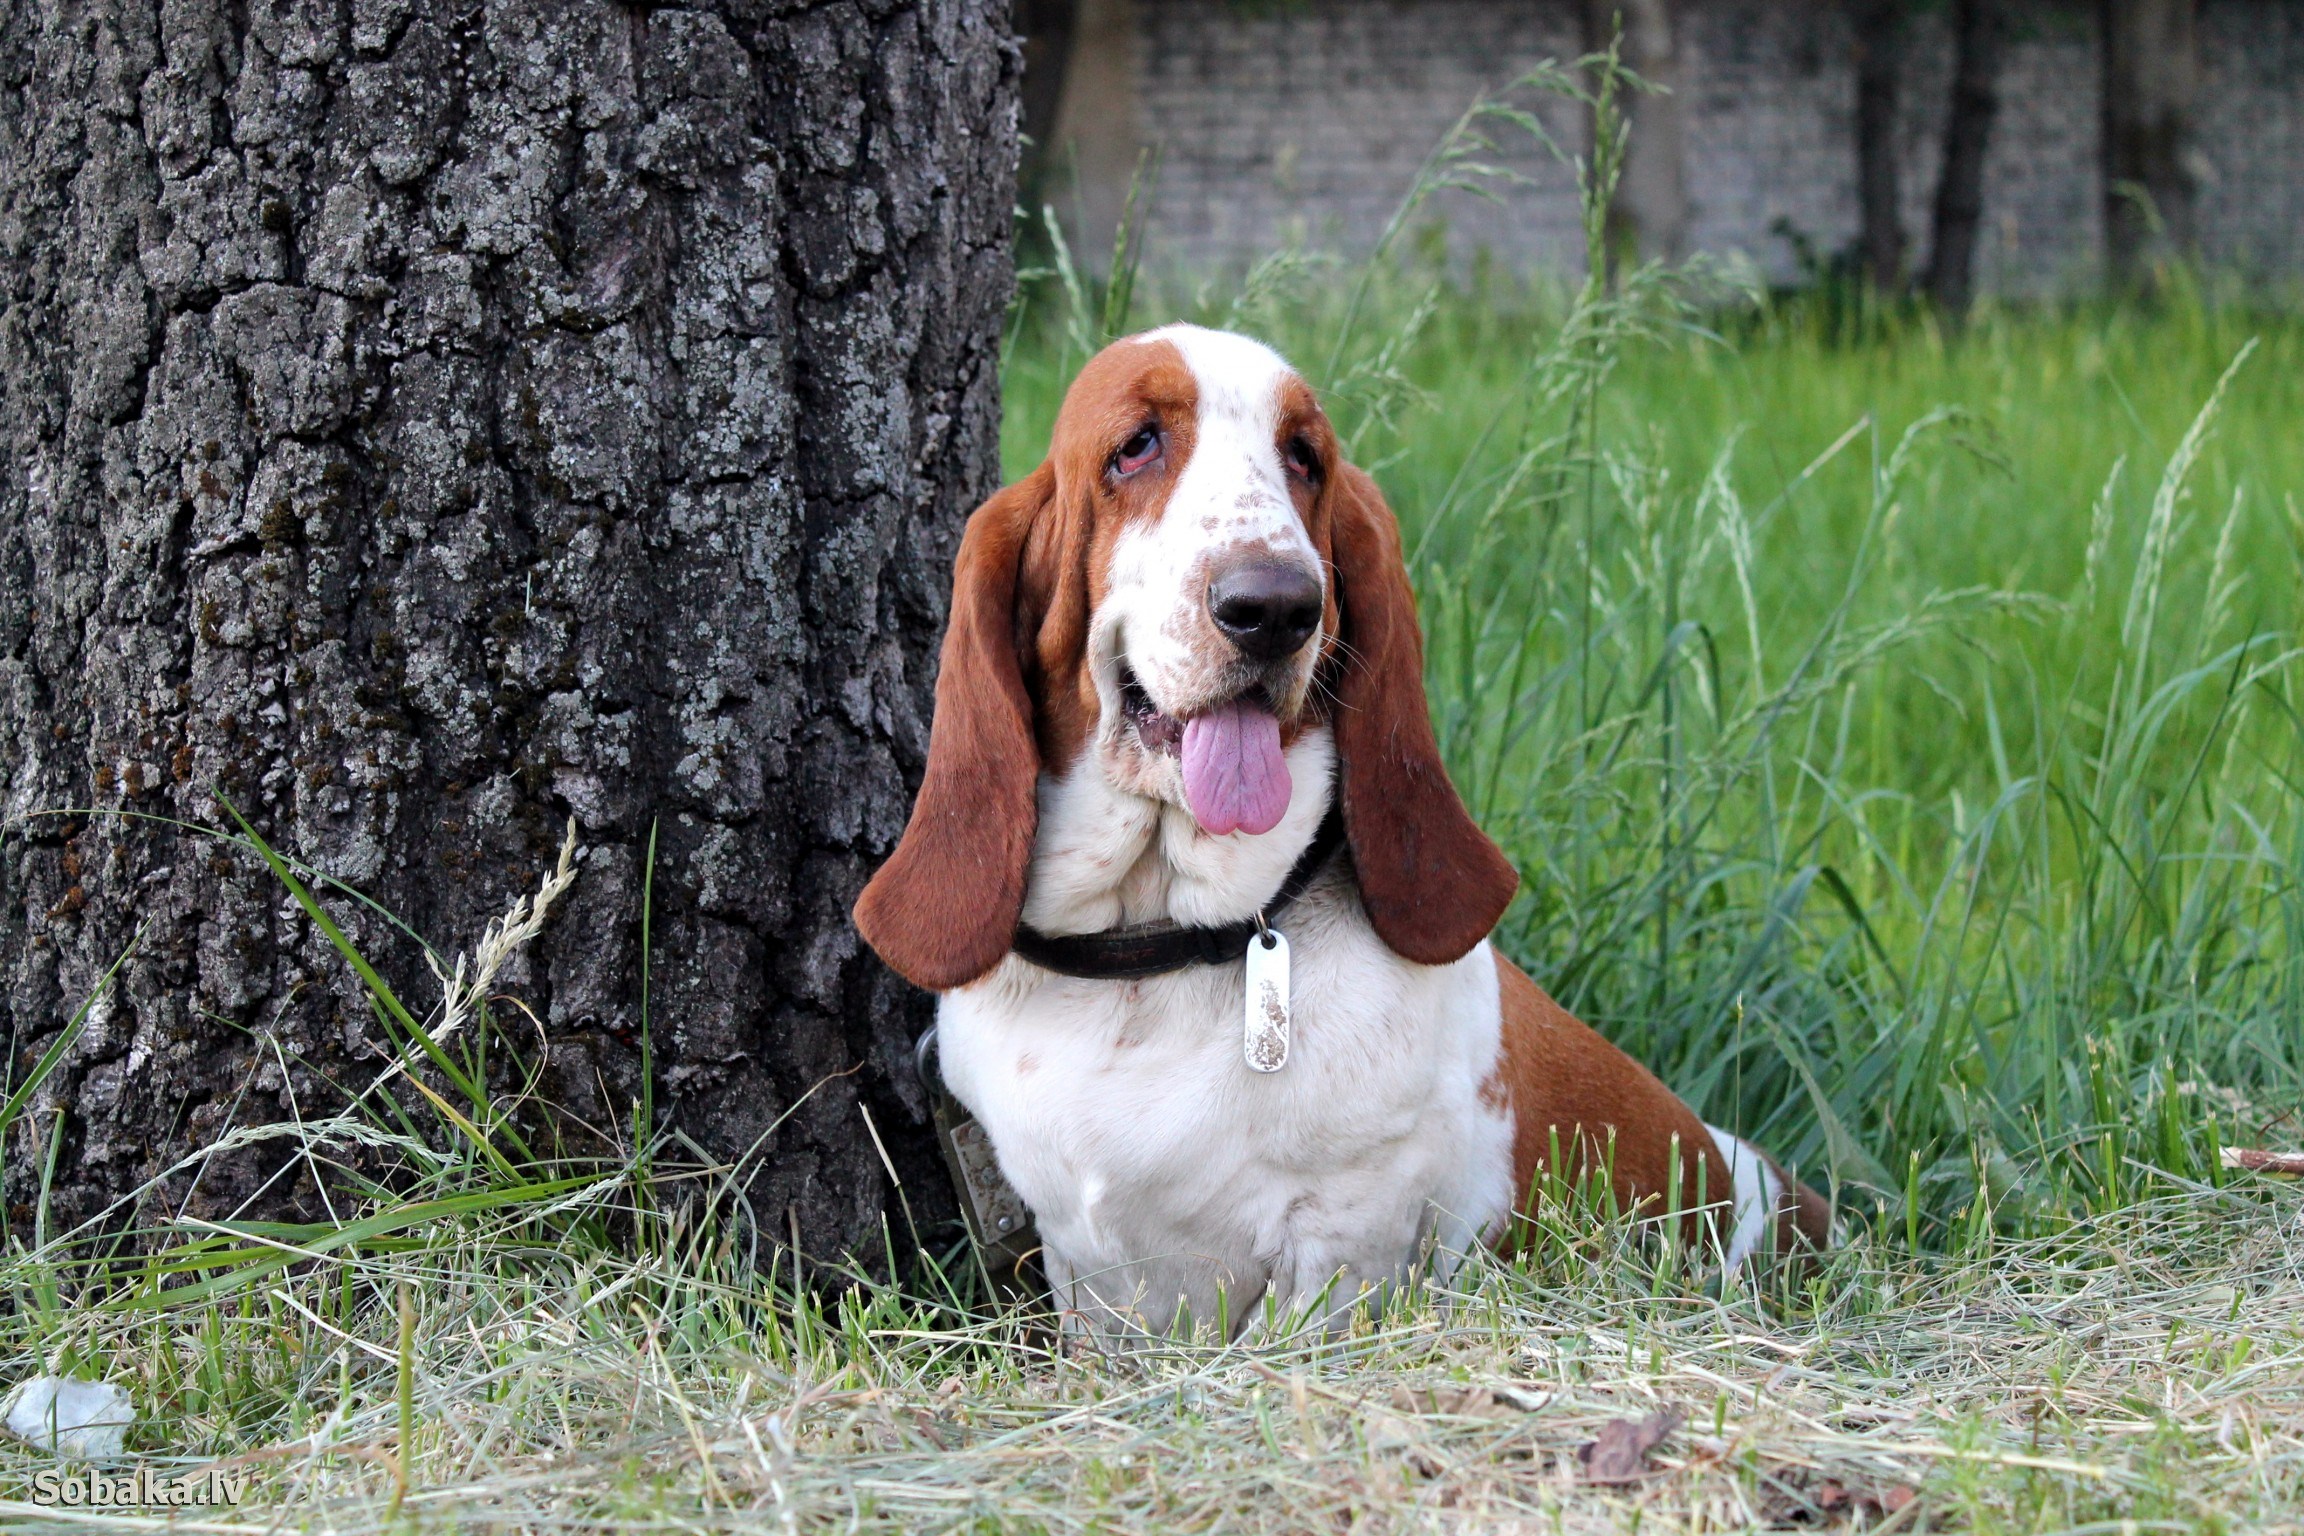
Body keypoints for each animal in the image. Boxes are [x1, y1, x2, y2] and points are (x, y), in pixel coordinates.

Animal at [857, 327, 1824, 1344]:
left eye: (1305, 458)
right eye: (1136, 446)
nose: (1276, 608)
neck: (1161, 949)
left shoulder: (1339, 1249)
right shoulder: (1086, 1275)